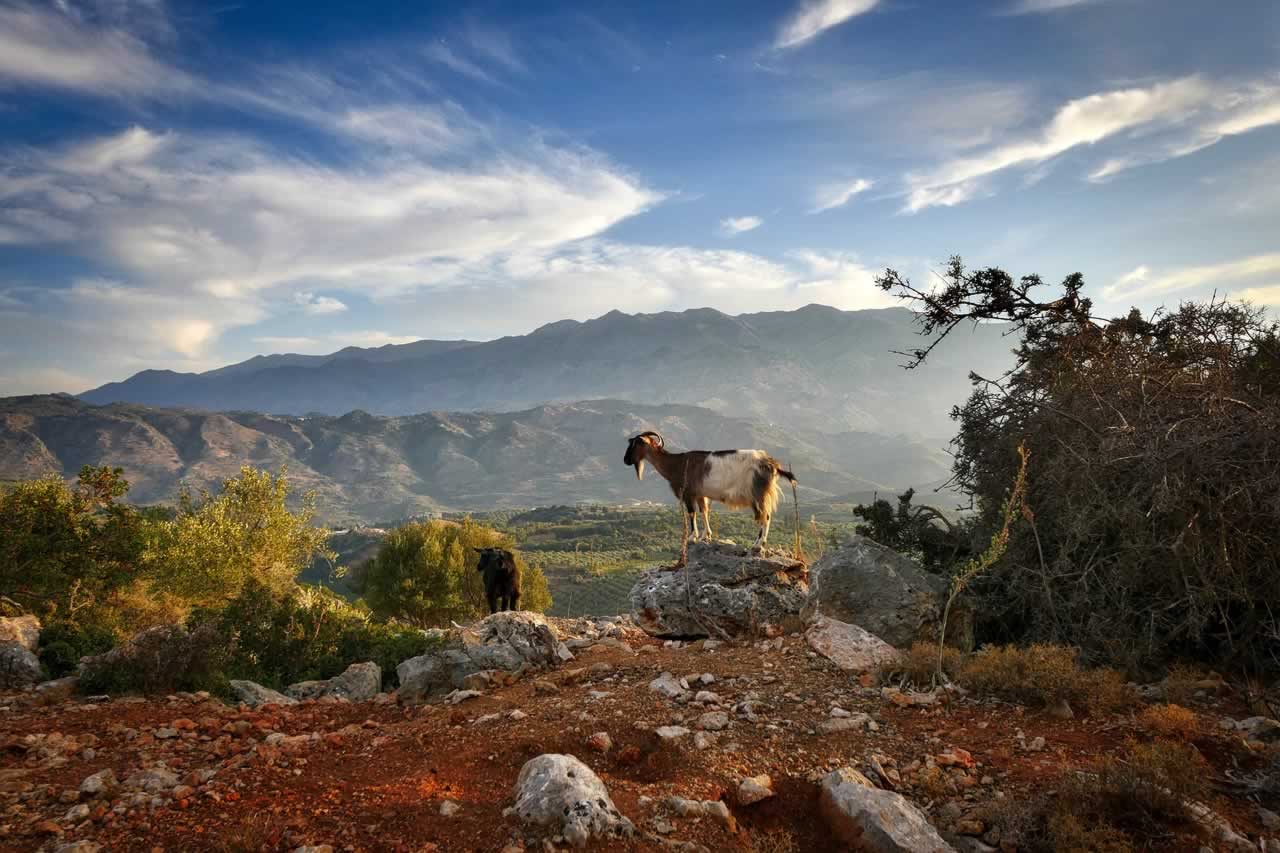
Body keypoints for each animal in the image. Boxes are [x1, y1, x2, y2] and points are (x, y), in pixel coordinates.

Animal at [623, 431, 797, 549]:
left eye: (636, 444)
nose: (625, 460)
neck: (677, 464)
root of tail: (772, 464)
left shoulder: (688, 493)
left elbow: (691, 513)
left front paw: (692, 537)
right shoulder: (701, 494)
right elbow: (704, 512)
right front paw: (706, 536)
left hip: (758, 492)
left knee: (764, 516)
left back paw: (759, 544)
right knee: (765, 516)